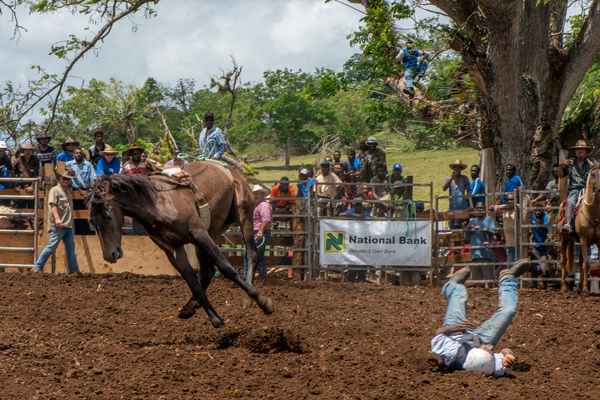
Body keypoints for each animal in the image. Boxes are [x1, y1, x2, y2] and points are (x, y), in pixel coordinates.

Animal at [86, 162, 274, 328]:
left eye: (109, 216)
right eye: (91, 222)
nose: (108, 255)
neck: (156, 202)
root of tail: (228, 169)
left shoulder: (198, 233)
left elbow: (227, 269)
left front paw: (265, 303)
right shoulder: (173, 249)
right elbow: (193, 282)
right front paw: (215, 319)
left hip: (243, 216)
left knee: (251, 255)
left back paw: (248, 299)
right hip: (210, 232)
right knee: (207, 272)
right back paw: (190, 306)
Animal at [556, 163, 600, 294]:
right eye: (593, 174)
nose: (599, 189)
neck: (592, 213)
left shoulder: (597, 241)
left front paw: (584, 288)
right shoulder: (584, 240)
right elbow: (586, 264)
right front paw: (586, 289)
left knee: (579, 261)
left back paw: (579, 287)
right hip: (563, 239)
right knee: (563, 261)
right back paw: (564, 287)